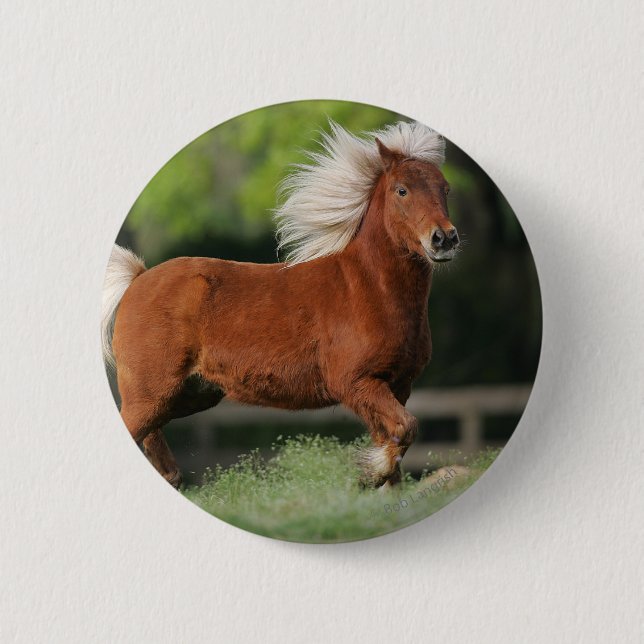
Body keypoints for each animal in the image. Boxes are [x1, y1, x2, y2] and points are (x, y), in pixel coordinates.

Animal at [101, 120, 460, 489]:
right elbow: (406, 428)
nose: (444, 238)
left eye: (445, 189)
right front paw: (370, 472)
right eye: (402, 190)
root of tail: (138, 278)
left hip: (191, 394)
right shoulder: (356, 383)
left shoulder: (397, 386)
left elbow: (397, 442)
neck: (369, 289)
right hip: (151, 394)